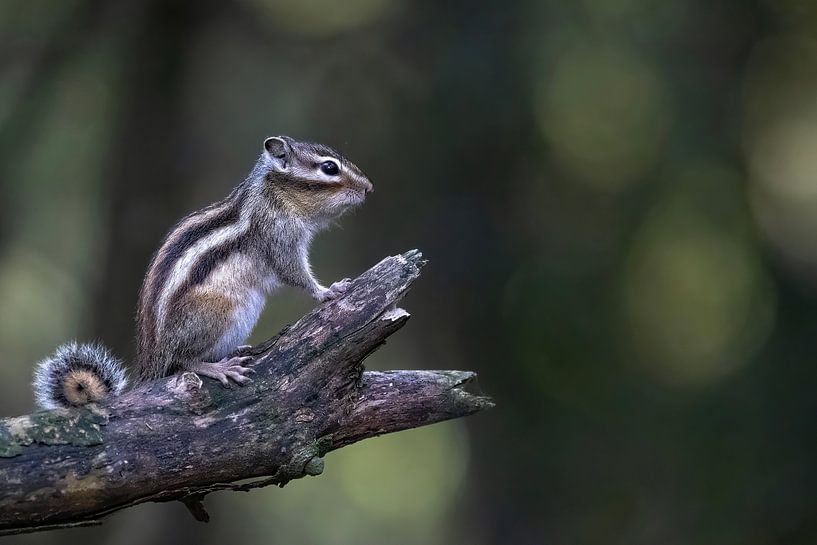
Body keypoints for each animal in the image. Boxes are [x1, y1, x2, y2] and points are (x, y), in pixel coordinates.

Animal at [33, 135, 373, 410]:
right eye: (329, 168)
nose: (369, 188)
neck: (272, 195)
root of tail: (153, 361)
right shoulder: (278, 238)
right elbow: (294, 273)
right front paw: (328, 291)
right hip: (217, 311)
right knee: (183, 362)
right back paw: (218, 367)